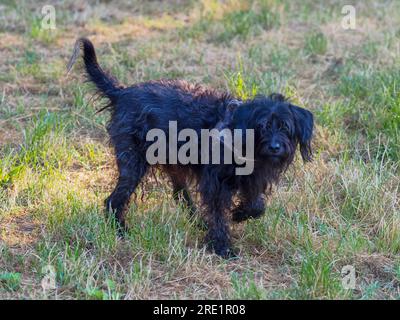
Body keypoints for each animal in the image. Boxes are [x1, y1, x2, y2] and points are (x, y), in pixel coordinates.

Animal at [69, 38, 314, 258]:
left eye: (285, 127)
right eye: (262, 127)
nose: (275, 146)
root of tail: (121, 92)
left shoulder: (252, 179)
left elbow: (257, 205)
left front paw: (238, 214)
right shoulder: (215, 182)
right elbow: (218, 213)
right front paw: (222, 247)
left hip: (173, 162)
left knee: (180, 195)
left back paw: (198, 222)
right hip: (133, 163)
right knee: (114, 200)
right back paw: (121, 231)